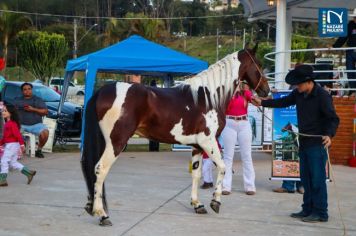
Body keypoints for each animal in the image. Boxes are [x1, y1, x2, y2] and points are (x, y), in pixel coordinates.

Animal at [80, 45, 270, 226]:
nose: (266, 91)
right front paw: (215, 202)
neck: (208, 98)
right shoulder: (209, 142)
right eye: (259, 65)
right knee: (100, 169)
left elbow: (196, 174)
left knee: (90, 168)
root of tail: (102, 91)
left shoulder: (197, 146)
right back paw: (102, 214)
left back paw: (91, 207)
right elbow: (223, 167)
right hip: (116, 143)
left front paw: (197, 205)